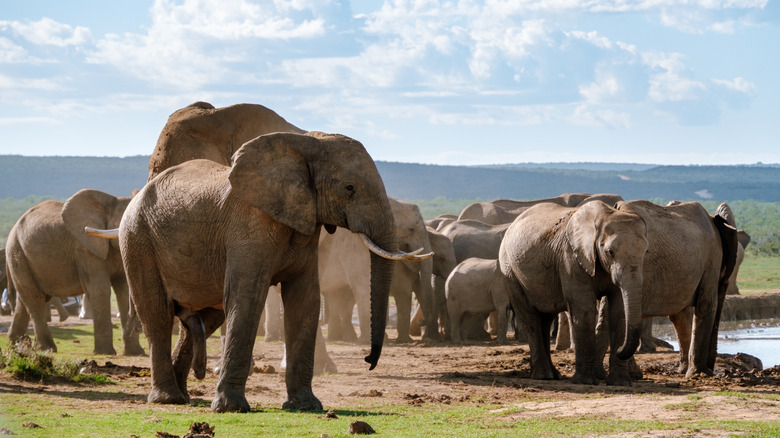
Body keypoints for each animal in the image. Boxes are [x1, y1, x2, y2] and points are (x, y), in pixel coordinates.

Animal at [5, 189, 143, 356]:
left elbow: (123, 290)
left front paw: (136, 352)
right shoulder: (85, 249)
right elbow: (100, 290)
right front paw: (105, 353)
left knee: (24, 299)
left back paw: (15, 346)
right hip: (16, 252)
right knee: (34, 298)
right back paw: (46, 349)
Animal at [88, 131, 428, 413]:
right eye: (349, 188)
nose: (368, 360)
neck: (305, 142)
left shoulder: (304, 227)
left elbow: (305, 301)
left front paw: (306, 406)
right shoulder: (250, 225)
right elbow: (248, 297)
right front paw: (231, 409)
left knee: (204, 318)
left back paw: (184, 396)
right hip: (137, 239)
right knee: (157, 314)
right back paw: (167, 399)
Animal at [499, 200, 648, 385]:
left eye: (646, 252)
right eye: (610, 252)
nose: (621, 350)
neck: (604, 215)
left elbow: (619, 311)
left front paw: (621, 383)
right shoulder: (571, 258)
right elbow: (584, 309)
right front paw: (585, 381)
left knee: (545, 318)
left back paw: (553, 375)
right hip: (510, 271)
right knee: (530, 318)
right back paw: (544, 376)